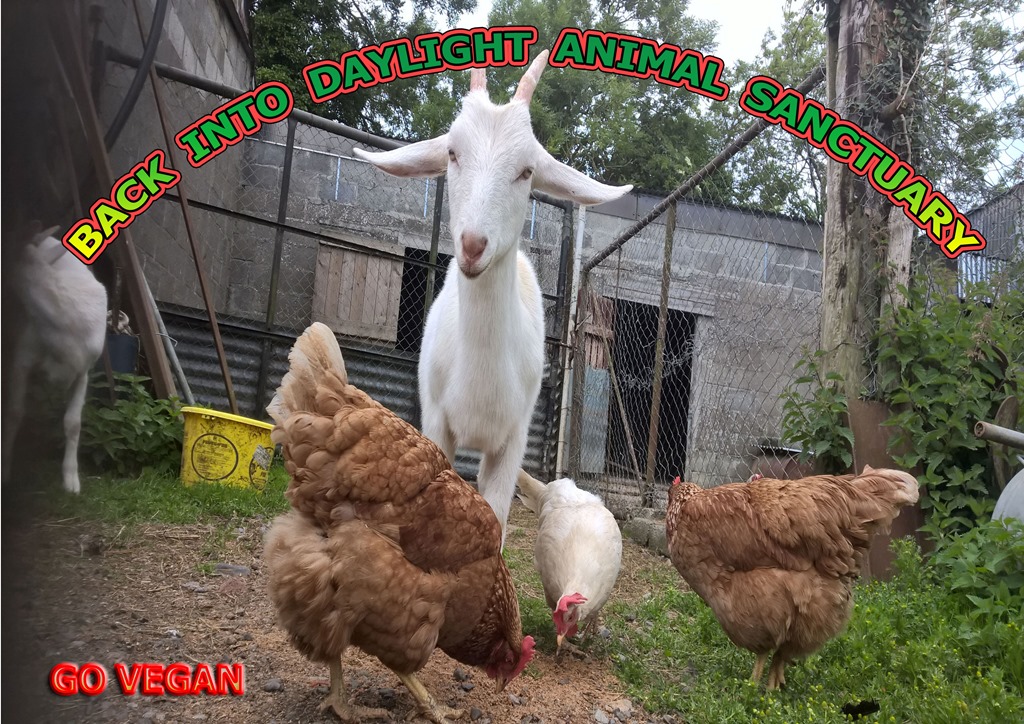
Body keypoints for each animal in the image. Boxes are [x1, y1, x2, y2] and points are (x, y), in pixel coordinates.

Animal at [2, 226, 108, 493]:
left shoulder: (83, 372)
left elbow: (73, 423)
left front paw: (71, 481)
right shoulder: (22, 360)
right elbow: (14, 413)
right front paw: (4, 471)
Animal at [354, 51, 632, 541]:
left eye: (526, 171)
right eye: (452, 152)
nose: (472, 246)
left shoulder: (512, 441)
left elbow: (497, 518)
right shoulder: (437, 423)